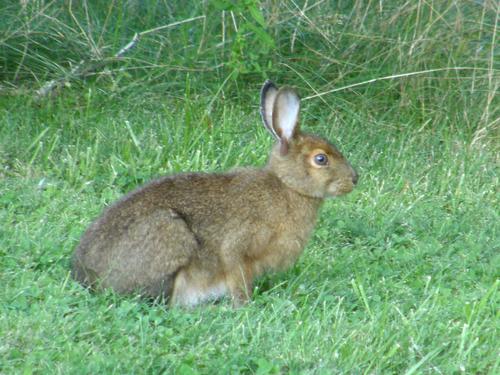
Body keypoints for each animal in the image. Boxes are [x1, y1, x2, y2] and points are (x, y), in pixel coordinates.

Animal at [72, 81, 358, 306]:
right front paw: (244, 305)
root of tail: (85, 276)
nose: (355, 179)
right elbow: (236, 275)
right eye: (321, 159)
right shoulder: (238, 246)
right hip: (169, 234)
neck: (288, 186)